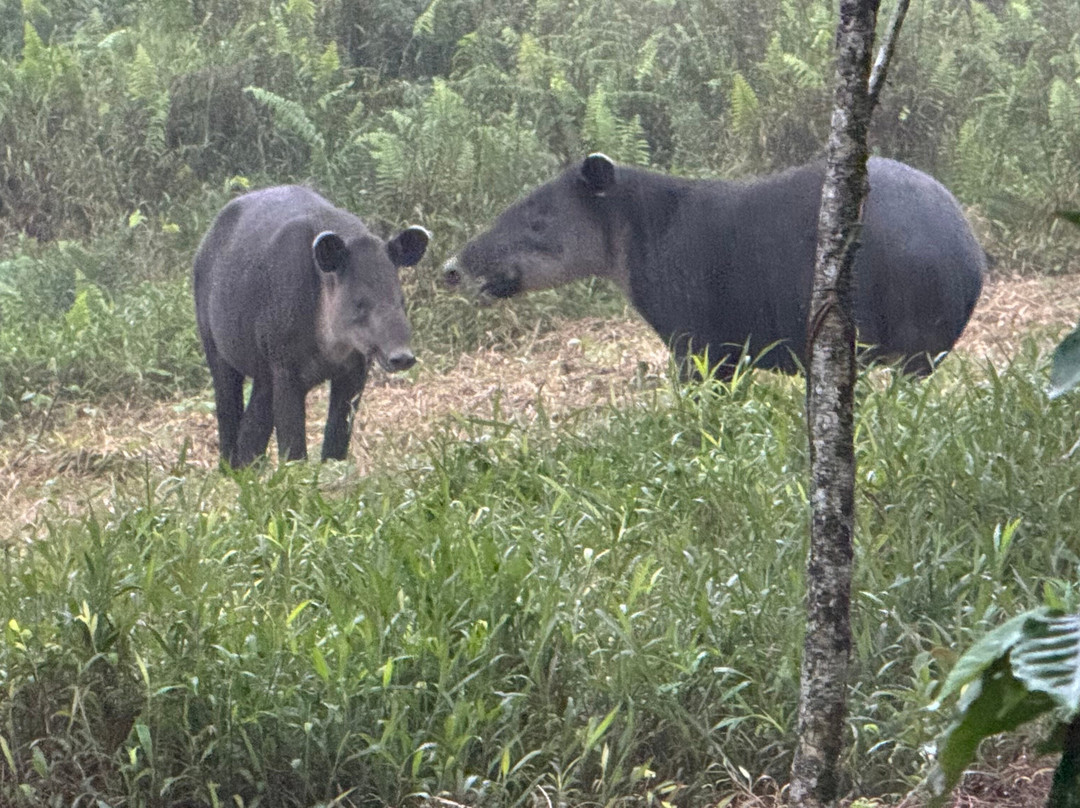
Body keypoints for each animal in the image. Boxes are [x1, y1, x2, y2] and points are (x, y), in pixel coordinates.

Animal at [193, 185, 429, 467]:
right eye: (359, 303)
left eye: (401, 300)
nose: (402, 357)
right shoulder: (285, 366)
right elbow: (292, 438)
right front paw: (295, 471)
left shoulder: (356, 367)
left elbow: (338, 434)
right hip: (214, 340)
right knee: (227, 401)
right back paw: (229, 467)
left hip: (264, 365)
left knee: (254, 421)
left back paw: (250, 468)